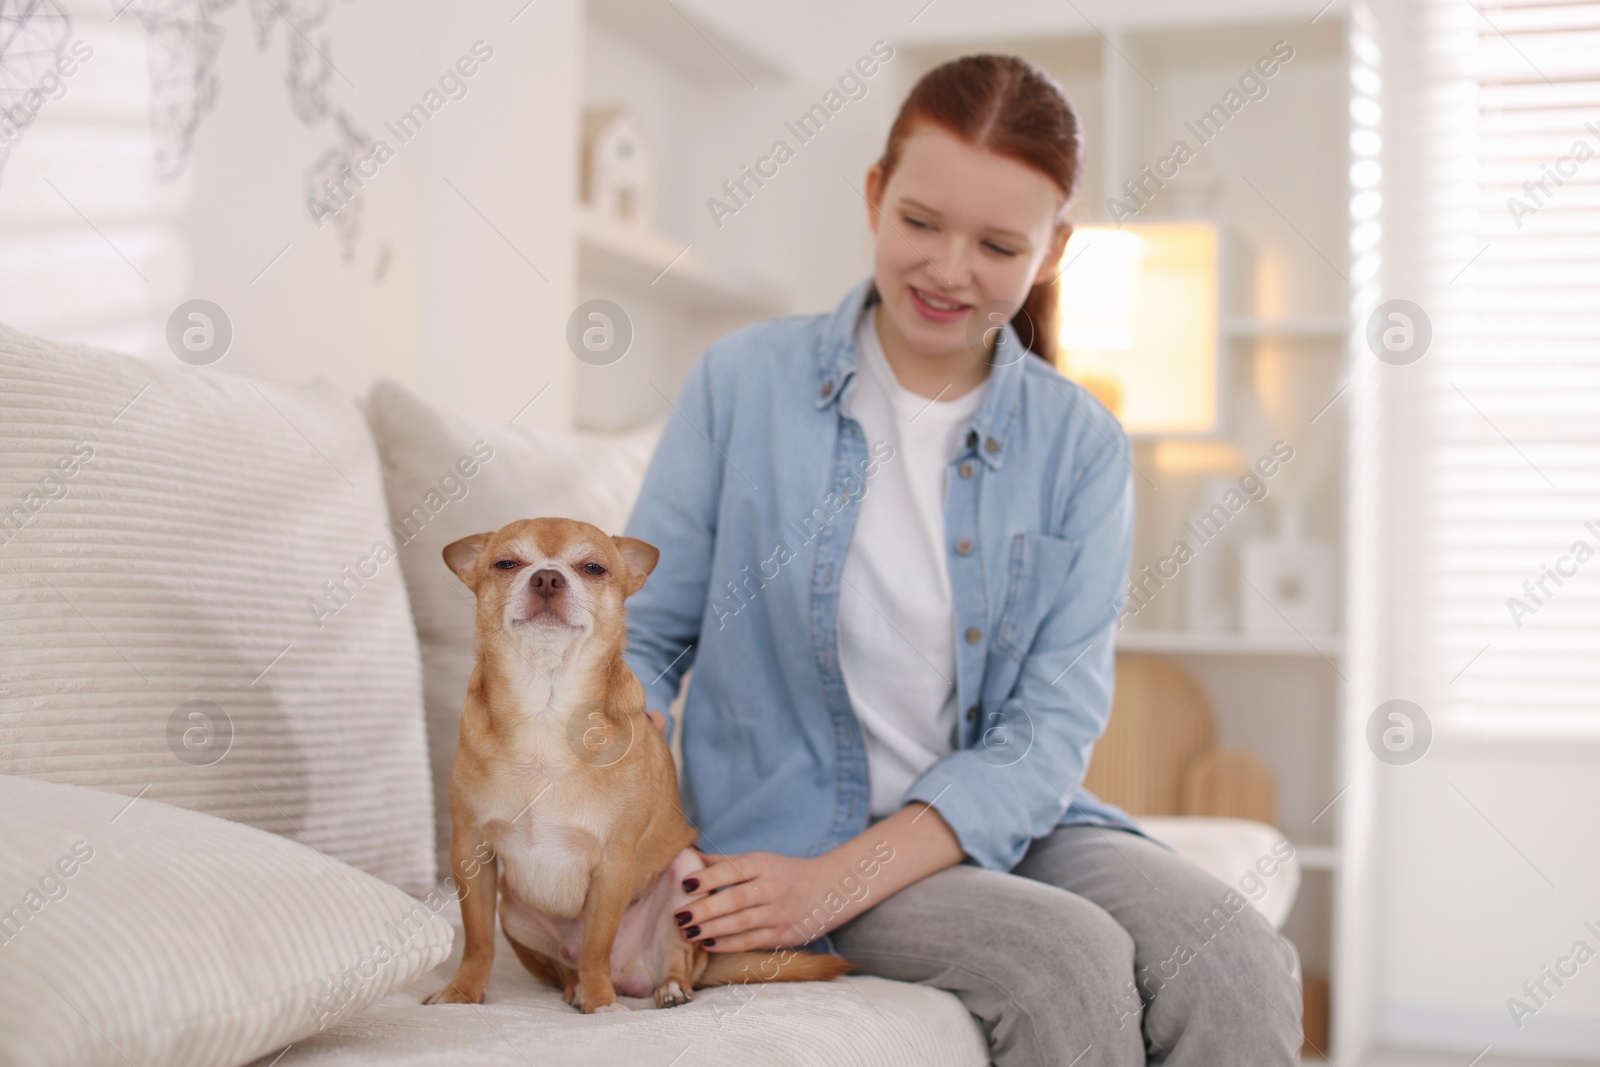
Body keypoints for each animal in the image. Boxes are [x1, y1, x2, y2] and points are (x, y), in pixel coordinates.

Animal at [422, 521, 851, 1017]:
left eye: (593, 568)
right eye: (506, 564)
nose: (547, 578)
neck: (547, 705)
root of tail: (632, 973)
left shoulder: (615, 865)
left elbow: (596, 945)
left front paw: (602, 1005)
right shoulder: (471, 851)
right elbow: (478, 940)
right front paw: (462, 992)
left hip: (686, 877)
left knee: (671, 956)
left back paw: (666, 988)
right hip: (513, 912)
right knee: (564, 965)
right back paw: (574, 988)